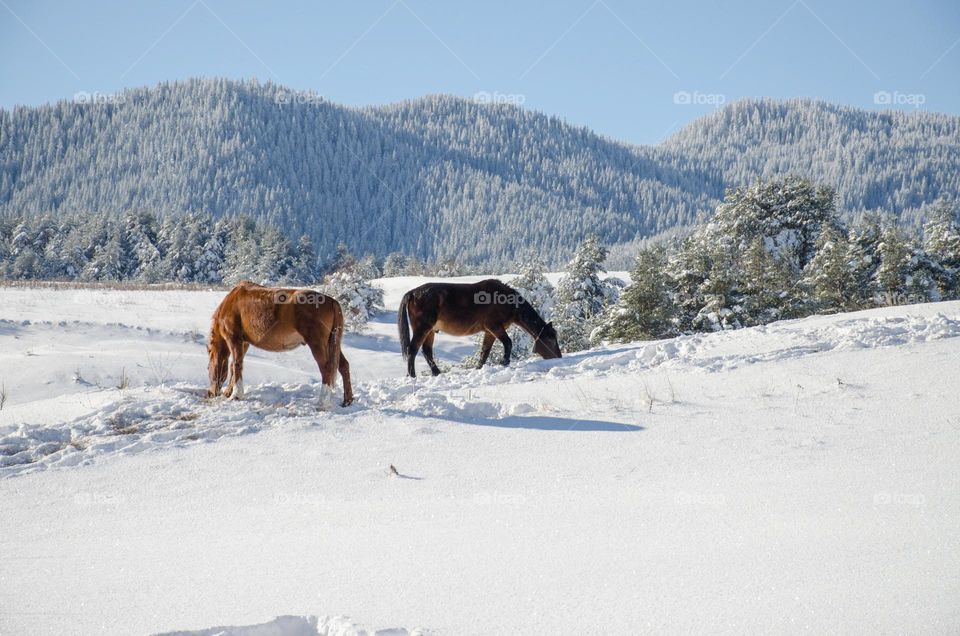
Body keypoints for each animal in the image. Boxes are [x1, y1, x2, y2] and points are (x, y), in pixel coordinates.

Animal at [207, 281, 353, 406]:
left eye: (208, 368)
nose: (211, 393)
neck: (231, 302)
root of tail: (332, 301)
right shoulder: (244, 343)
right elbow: (234, 365)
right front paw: (229, 392)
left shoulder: (234, 339)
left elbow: (236, 365)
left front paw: (235, 395)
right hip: (331, 344)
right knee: (343, 366)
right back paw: (347, 400)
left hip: (317, 344)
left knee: (326, 368)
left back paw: (322, 403)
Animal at [397, 279, 561, 377]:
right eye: (551, 338)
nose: (559, 358)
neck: (506, 301)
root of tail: (412, 293)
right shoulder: (494, 327)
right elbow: (508, 343)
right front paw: (504, 362)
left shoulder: (490, 332)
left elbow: (485, 352)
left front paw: (479, 368)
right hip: (423, 328)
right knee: (412, 350)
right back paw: (412, 376)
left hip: (430, 331)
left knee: (427, 351)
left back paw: (437, 373)